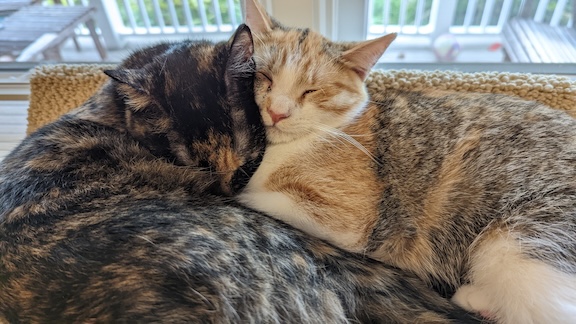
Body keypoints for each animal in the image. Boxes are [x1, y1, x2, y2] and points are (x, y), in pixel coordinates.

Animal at [237, 1, 576, 322]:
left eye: (312, 90)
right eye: (263, 75)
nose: (278, 112)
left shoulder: (350, 220)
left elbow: (255, 195)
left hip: (519, 241)